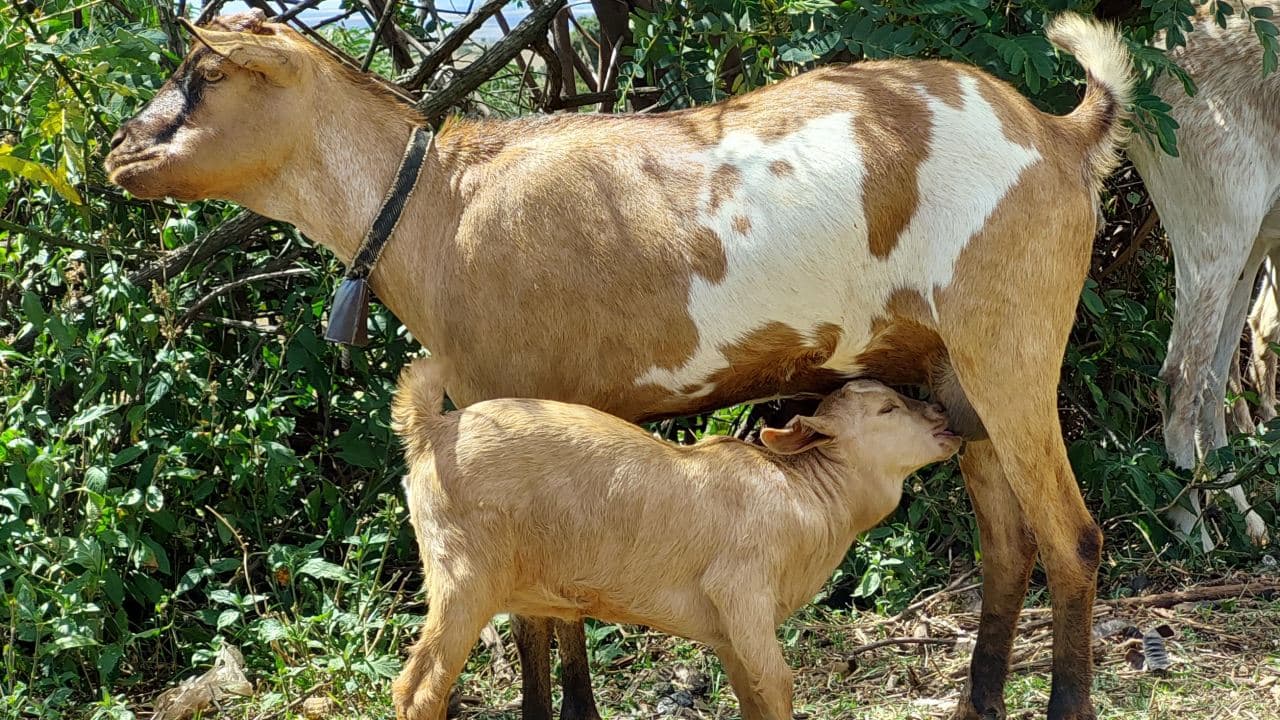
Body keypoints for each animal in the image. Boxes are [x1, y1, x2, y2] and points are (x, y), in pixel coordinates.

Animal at [389, 358, 962, 720]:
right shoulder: (742, 591)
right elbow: (779, 687)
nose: (944, 416)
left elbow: (754, 698)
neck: (806, 493)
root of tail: (431, 431)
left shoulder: (729, 632)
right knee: (419, 689)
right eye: (887, 410)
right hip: (465, 577)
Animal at [1127, 2, 1279, 549]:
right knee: (1181, 378)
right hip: (1221, 237)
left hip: (1246, 248)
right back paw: (1194, 531)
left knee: (1214, 381)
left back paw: (1249, 523)